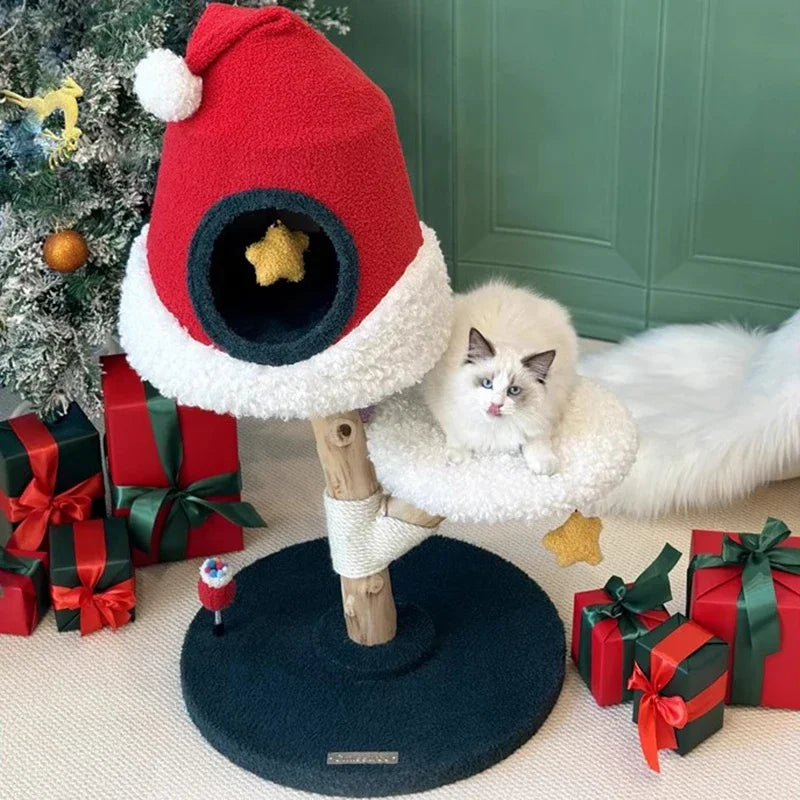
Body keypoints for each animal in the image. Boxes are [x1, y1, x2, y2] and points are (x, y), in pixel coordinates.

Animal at [422, 280, 580, 472]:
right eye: (487, 383)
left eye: (514, 390)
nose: (495, 405)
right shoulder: (443, 405)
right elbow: (456, 434)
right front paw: (459, 457)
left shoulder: (546, 413)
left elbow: (537, 440)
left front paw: (544, 466)